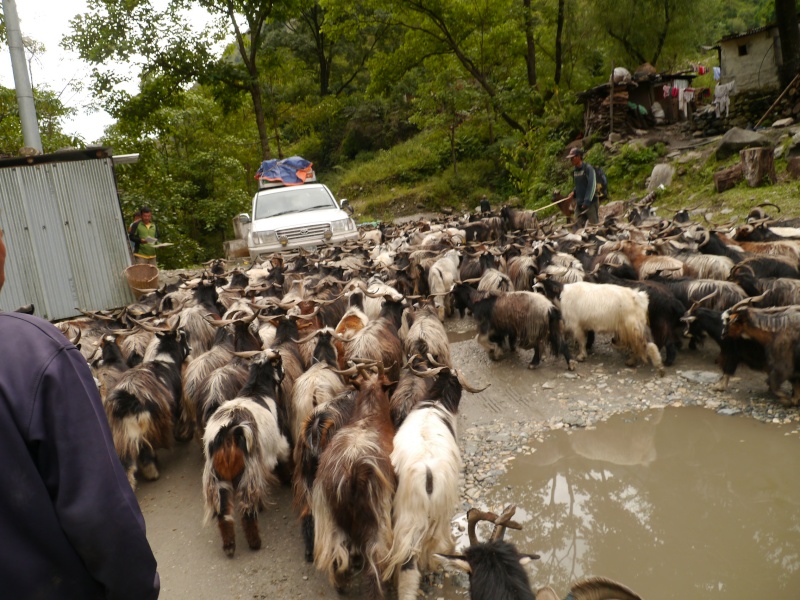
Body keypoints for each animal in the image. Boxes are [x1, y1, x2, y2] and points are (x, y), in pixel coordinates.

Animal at [203, 352, 294, 556]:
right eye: (279, 363)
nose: (285, 371)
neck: (256, 390)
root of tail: (228, 431)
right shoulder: (280, 442)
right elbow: (285, 460)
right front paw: (289, 480)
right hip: (248, 472)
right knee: (246, 511)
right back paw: (255, 542)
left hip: (218, 477)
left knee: (223, 513)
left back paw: (229, 546)